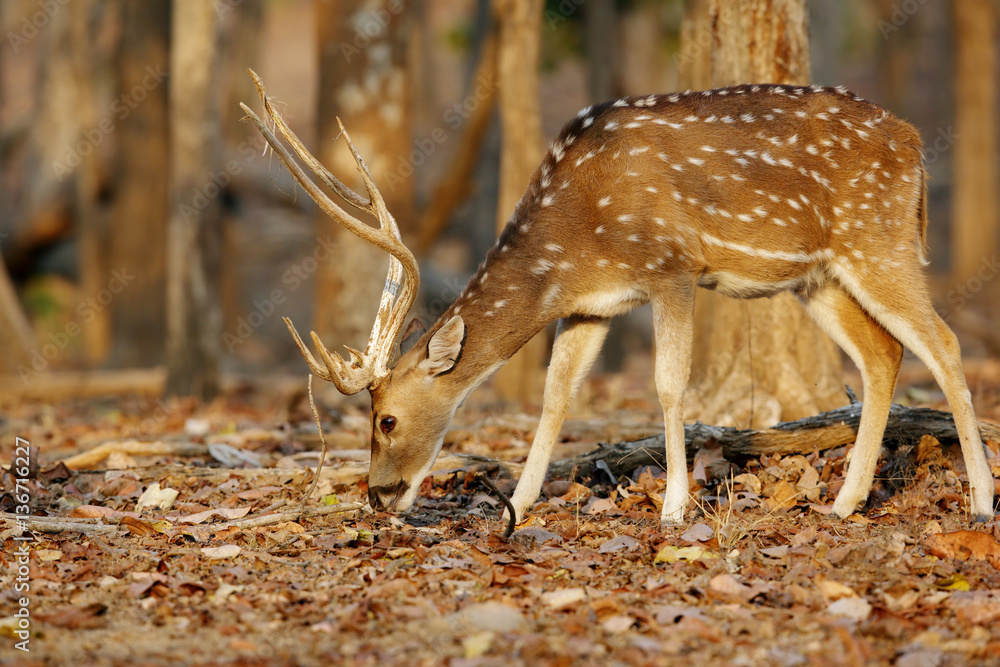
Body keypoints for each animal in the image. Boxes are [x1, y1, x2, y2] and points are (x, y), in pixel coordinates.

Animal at [241, 70, 997, 526]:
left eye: (387, 418)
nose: (377, 494)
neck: (575, 234)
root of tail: (917, 143)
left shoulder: (672, 266)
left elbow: (667, 385)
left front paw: (673, 508)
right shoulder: (592, 304)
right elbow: (555, 394)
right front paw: (517, 504)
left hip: (880, 238)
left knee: (945, 341)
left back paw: (981, 503)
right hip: (819, 276)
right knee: (884, 353)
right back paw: (845, 501)